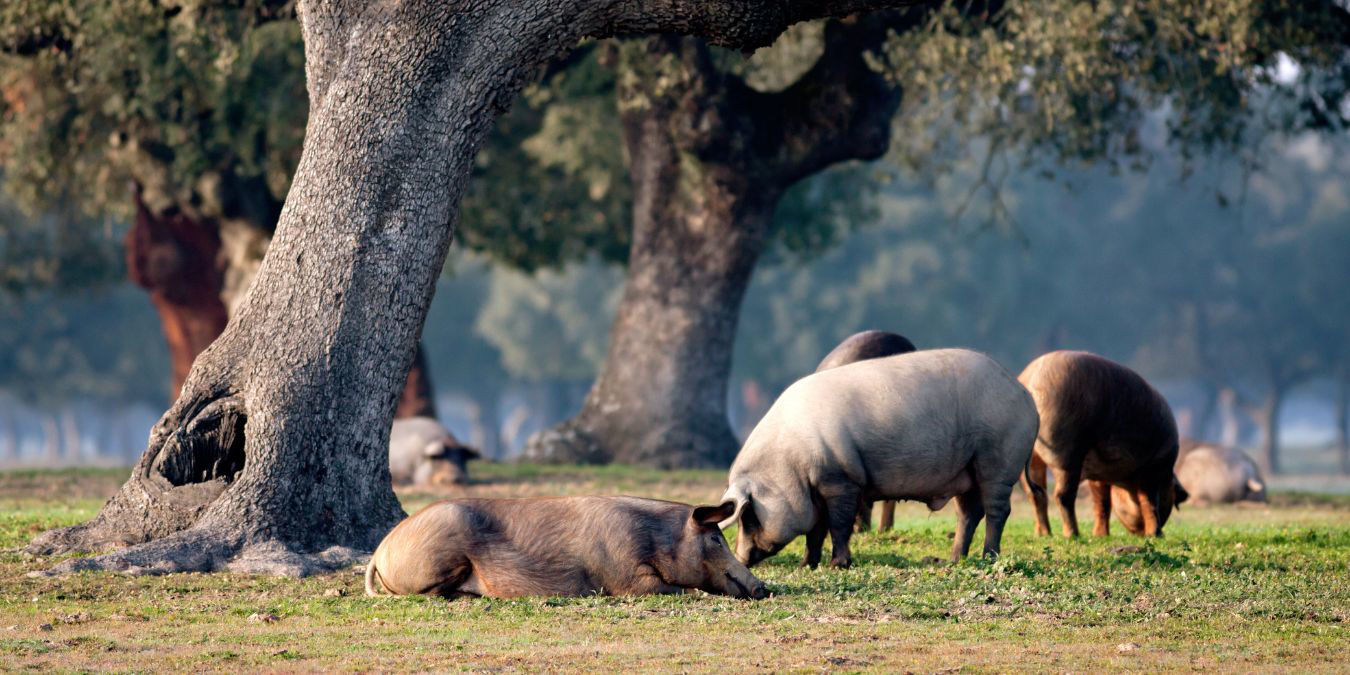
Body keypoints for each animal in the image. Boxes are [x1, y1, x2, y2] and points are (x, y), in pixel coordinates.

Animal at [364, 496, 772, 602]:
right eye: (716, 539)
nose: (764, 588)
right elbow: (668, 588)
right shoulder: (623, 575)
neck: (657, 539)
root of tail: (381, 550)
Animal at [1015, 353, 1188, 537]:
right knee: (1062, 495)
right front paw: (1156, 535)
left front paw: (1100, 535)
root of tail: (1031, 381)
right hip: (1066, 454)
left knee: (1036, 494)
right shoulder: (1154, 466)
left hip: (1032, 458)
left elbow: (1102, 502)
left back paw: (1044, 534)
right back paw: (1073, 535)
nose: (1140, 533)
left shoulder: (1099, 475)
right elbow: (1149, 502)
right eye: (1172, 494)